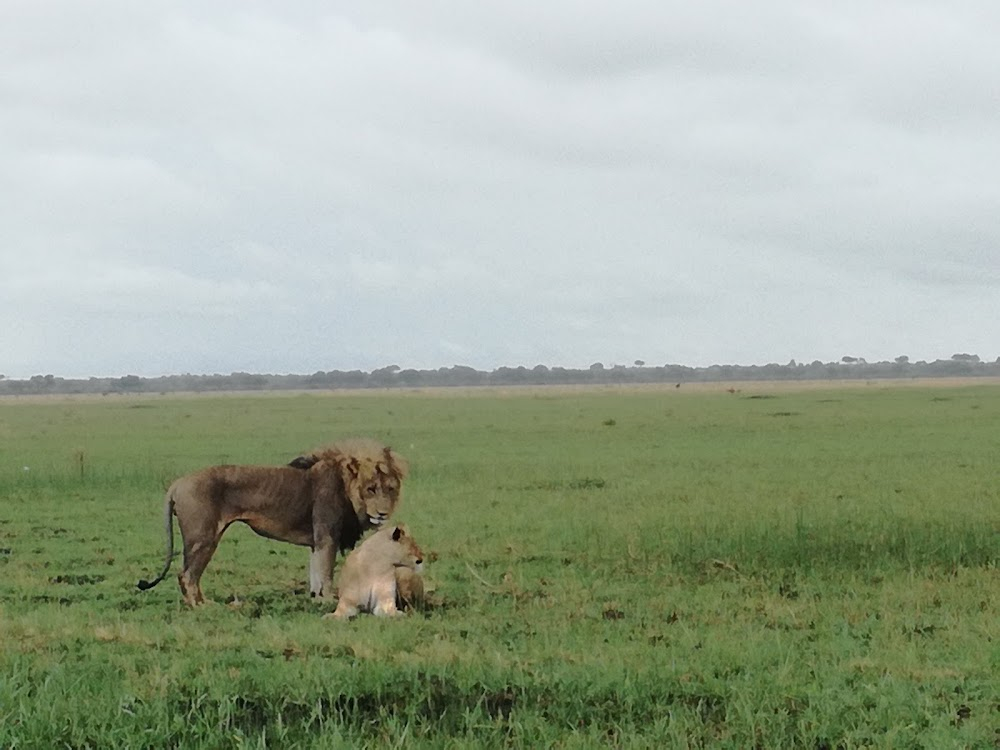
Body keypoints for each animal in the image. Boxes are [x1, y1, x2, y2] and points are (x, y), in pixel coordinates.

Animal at [137, 440, 406, 604]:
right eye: (370, 489)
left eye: (390, 489)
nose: (382, 513)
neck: (345, 486)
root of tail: (177, 483)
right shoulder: (327, 537)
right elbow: (326, 572)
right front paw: (330, 601)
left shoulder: (317, 542)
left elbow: (316, 572)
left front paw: (316, 599)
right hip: (203, 538)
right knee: (187, 575)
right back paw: (202, 607)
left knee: (189, 575)